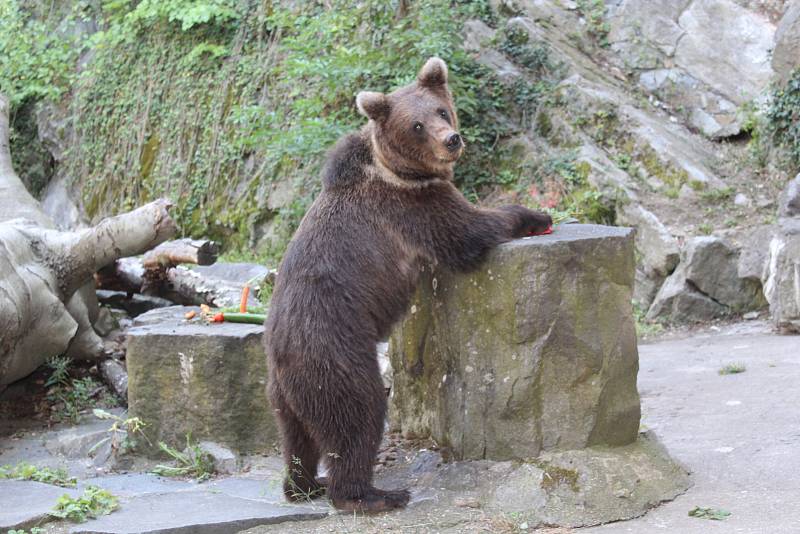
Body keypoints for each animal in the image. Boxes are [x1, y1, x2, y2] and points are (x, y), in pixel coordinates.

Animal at [266, 56, 552, 512]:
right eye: (416, 124)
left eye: (441, 110)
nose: (451, 140)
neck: (397, 169)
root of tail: (281, 357)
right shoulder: (411, 207)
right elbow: (467, 231)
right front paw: (535, 215)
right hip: (335, 355)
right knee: (357, 416)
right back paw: (371, 493)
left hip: (283, 395)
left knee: (297, 438)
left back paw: (304, 484)